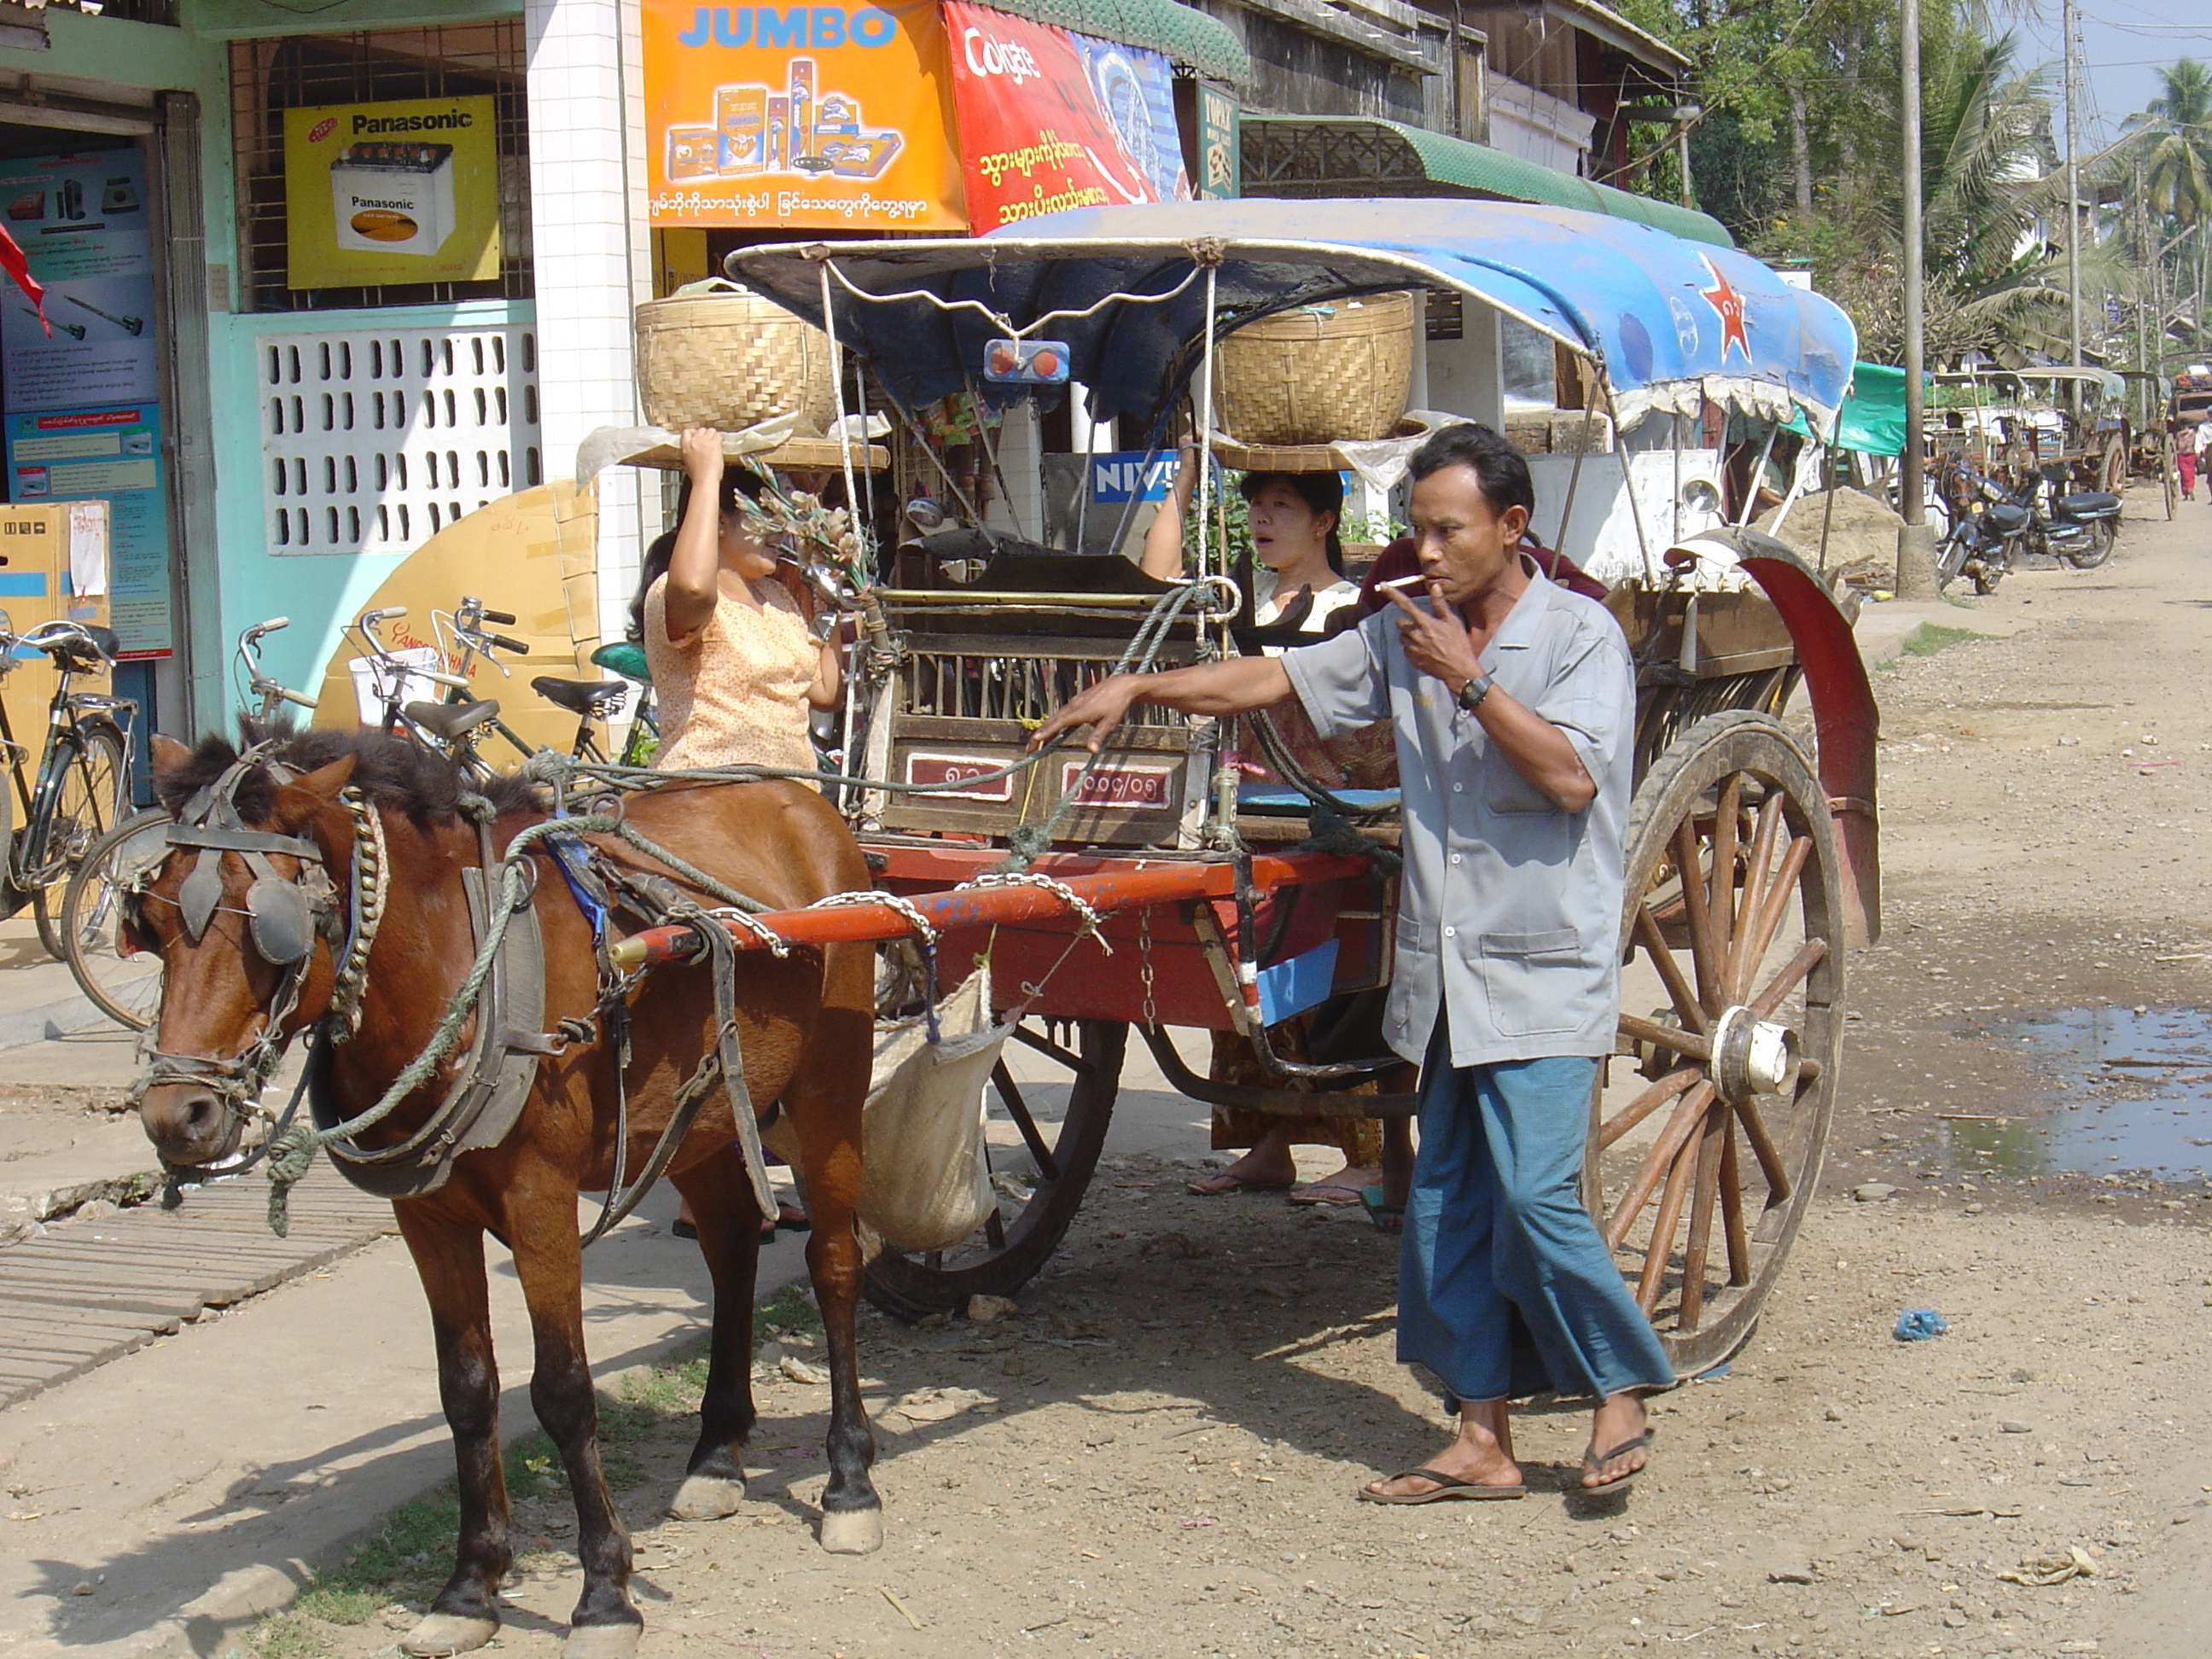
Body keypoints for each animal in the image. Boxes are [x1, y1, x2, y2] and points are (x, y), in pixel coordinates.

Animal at [129, 730, 880, 1659]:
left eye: (265, 925)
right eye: (151, 921)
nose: (178, 1117)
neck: (458, 959)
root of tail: (803, 802)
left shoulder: (540, 1203)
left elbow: (562, 1391)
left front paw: (605, 1593)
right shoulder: (428, 1215)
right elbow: (466, 1391)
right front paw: (469, 1585)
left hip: (830, 1094)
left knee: (836, 1264)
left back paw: (849, 1477)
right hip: (701, 1109)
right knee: (734, 1246)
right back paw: (716, 1454)